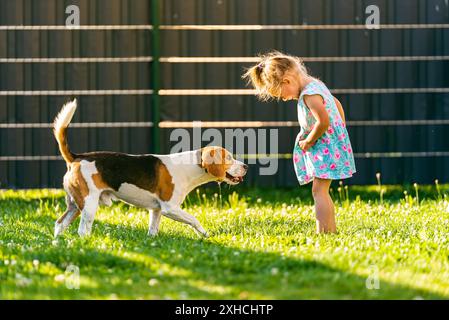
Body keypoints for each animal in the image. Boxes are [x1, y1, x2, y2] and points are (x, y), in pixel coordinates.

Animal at [54, 100, 248, 238]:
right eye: (228, 158)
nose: (246, 166)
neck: (189, 166)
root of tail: (76, 157)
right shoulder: (170, 208)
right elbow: (194, 219)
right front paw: (206, 235)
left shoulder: (156, 210)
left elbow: (153, 230)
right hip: (89, 204)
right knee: (83, 230)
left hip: (74, 205)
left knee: (59, 224)